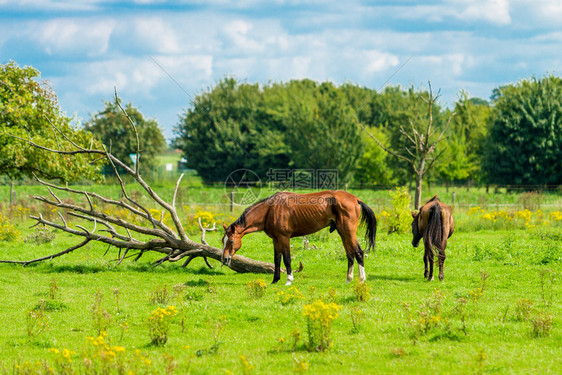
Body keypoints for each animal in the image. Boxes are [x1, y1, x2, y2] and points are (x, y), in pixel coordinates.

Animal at [221, 191, 374, 284]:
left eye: (231, 241)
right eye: (223, 241)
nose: (224, 259)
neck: (270, 210)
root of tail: (356, 199)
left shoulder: (284, 238)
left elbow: (287, 259)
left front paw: (289, 280)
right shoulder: (275, 240)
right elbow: (277, 260)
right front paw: (275, 280)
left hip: (348, 232)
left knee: (358, 252)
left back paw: (361, 279)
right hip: (343, 233)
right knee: (350, 254)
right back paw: (348, 279)